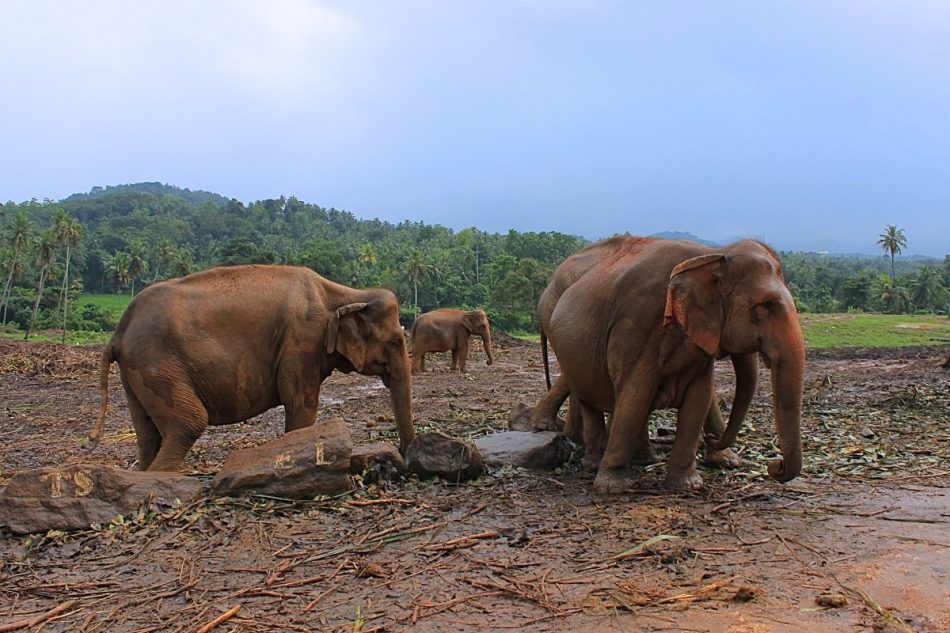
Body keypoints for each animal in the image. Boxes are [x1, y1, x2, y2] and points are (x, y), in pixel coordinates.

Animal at [88, 262, 412, 470]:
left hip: (137, 375)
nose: (406, 458)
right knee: (188, 424)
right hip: (158, 366)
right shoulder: (301, 342)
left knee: (147, 433)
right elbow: (301, 404)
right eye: (397, 341)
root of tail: (117, 333)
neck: (346, 293)